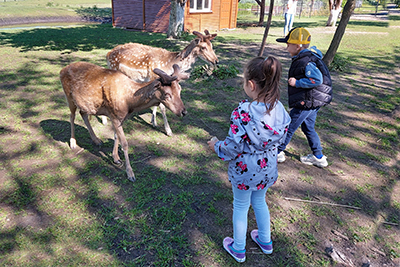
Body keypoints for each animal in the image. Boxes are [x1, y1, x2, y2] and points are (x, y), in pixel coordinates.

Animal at [61, 62, 189, 182]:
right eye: (167, 94)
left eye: (180, 90)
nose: (183, 112)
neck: (129, 102)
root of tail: (62, 70)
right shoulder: (115, 116)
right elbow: (125, 143)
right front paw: (130, 174)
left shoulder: (118, 117)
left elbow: (115, 136)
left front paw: (116, 158)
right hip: (69, 97)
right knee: (71, 116)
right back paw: (73, 143)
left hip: (85, 104)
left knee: (83, 114)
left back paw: (96, 140)